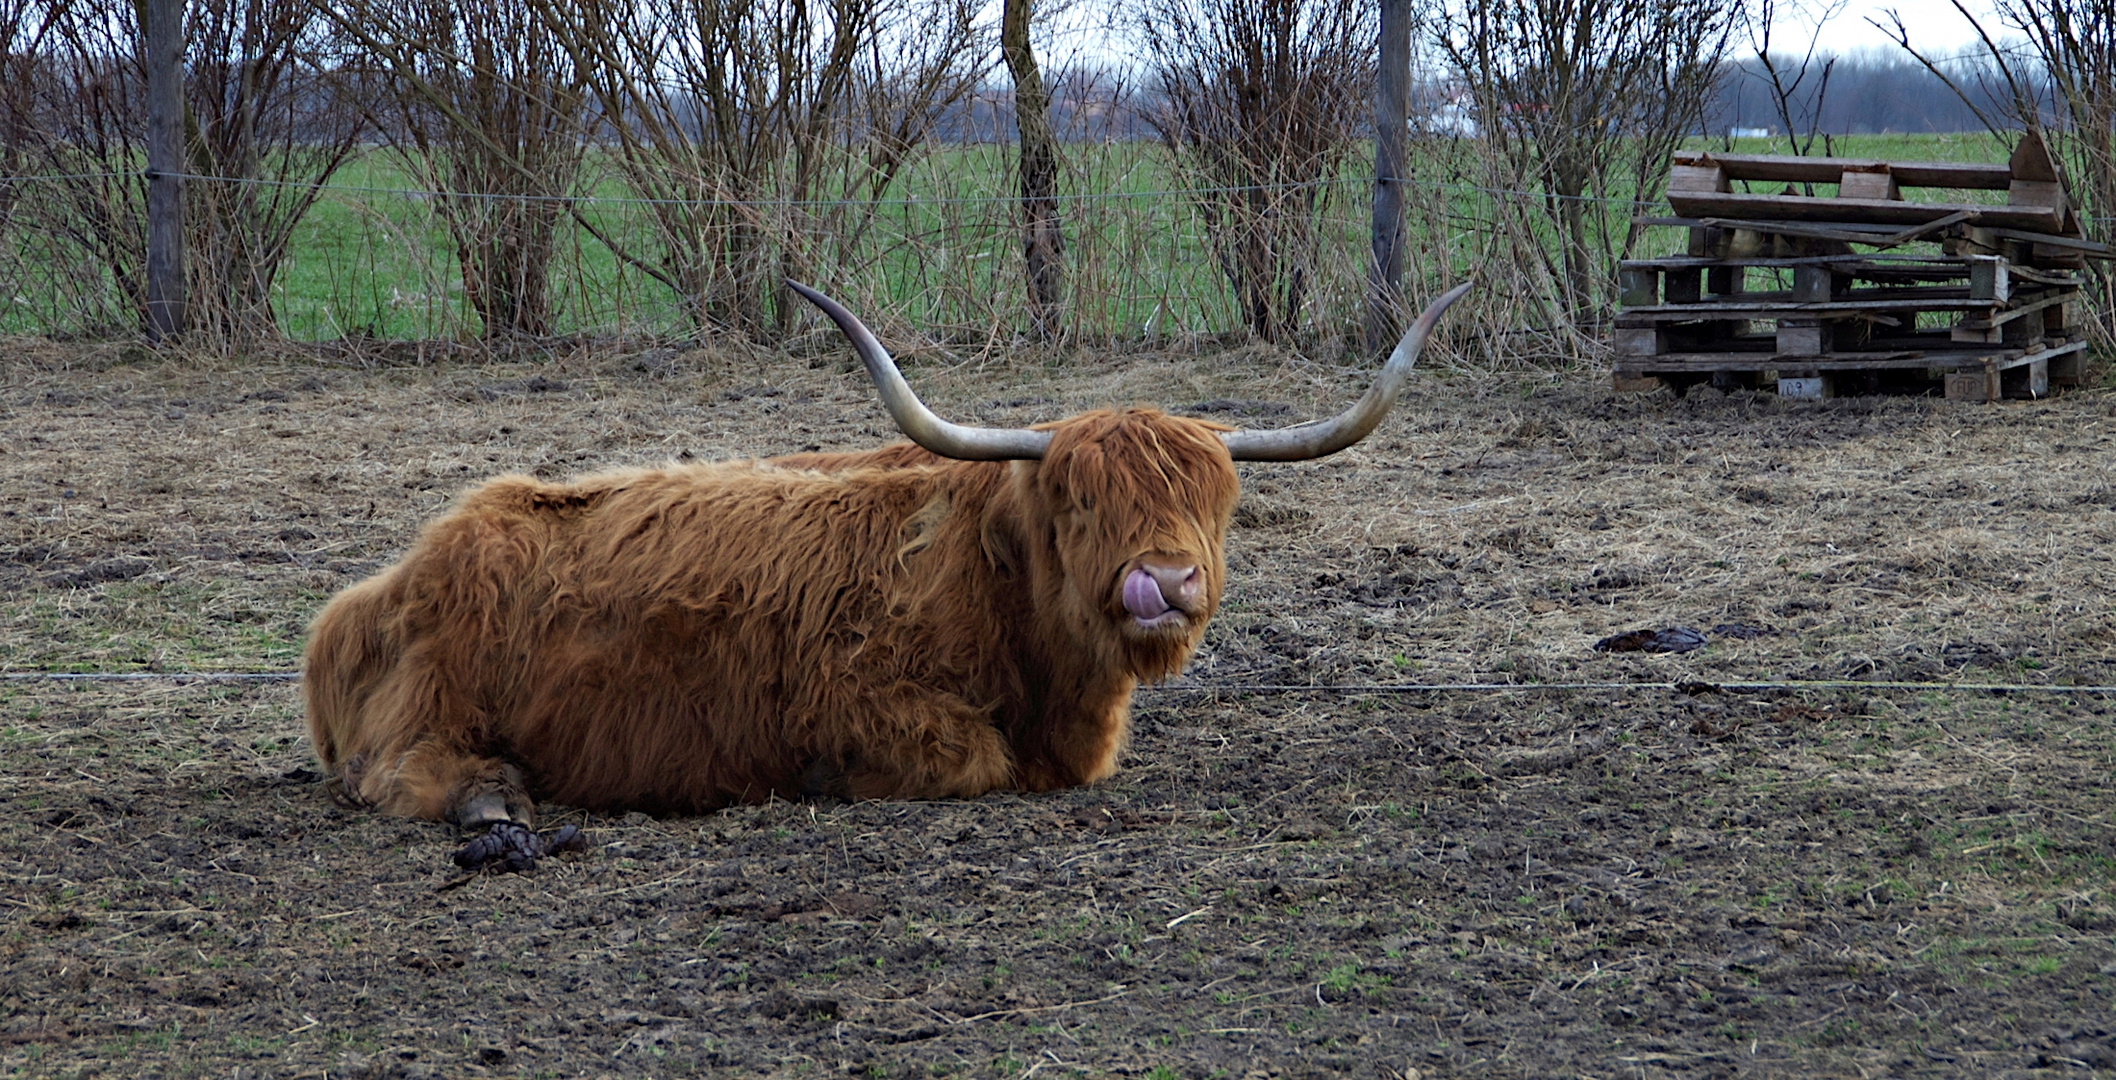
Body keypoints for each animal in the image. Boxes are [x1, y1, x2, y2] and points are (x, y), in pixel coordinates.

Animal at [308, 279, 1472, 868]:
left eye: (1215, 502)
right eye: (1077, 500)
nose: (1166, 582)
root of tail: (397, 571)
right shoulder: (861, 698)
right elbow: (974, 758)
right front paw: (827, 781)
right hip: (434, 703)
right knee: (399, 772)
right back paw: (498, 812)